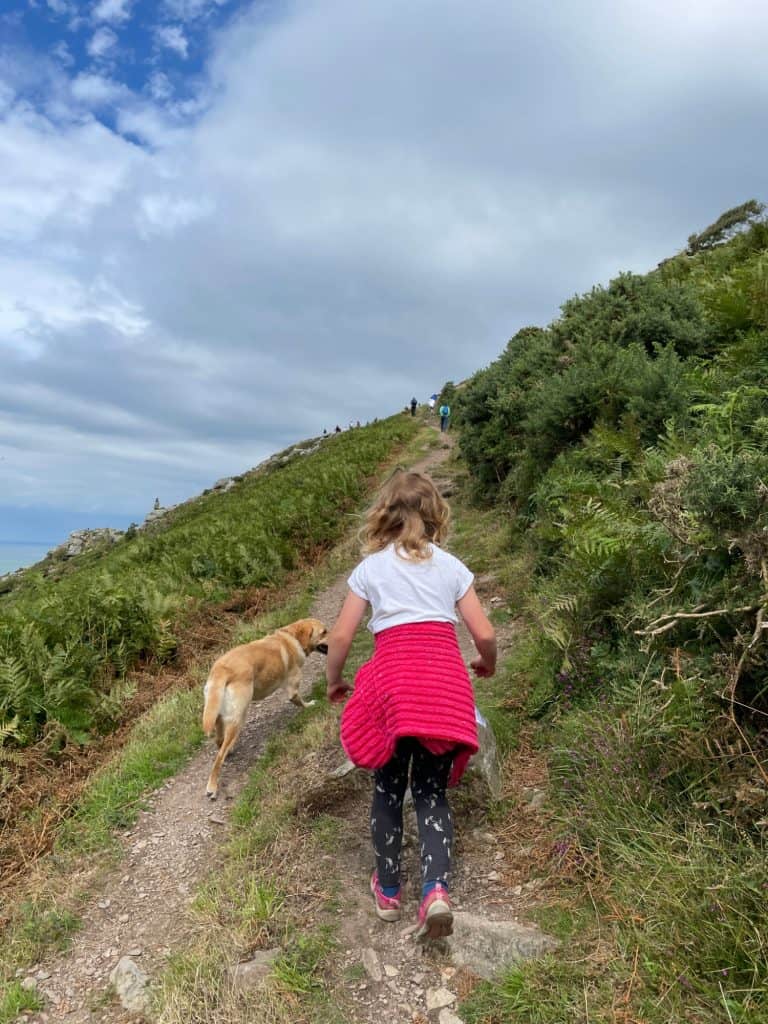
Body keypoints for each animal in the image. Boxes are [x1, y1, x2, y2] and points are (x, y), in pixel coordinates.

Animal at [201, 614, 327, 798]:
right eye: (324, 632)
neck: (292, 638)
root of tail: (222, 669)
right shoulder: (293, 687)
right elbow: (299, 701)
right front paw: (310, 705)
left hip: (220, 715)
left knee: (219, 741)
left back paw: (228, 750)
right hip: (239, 717)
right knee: (219, 757)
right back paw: (212, 786)